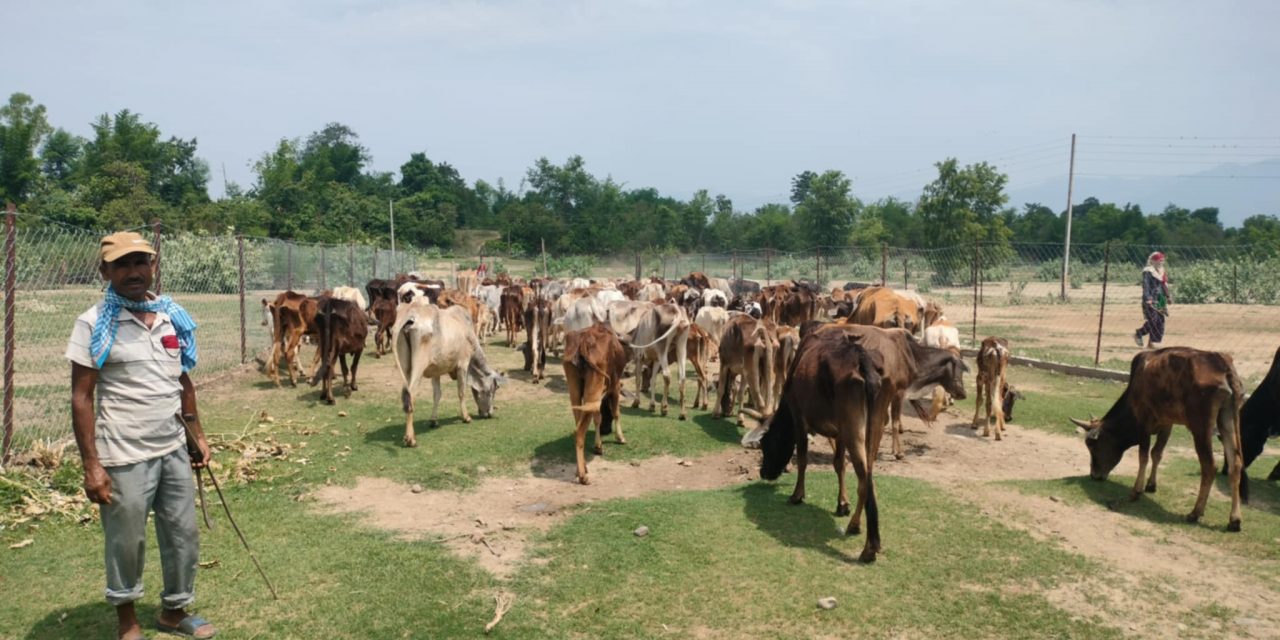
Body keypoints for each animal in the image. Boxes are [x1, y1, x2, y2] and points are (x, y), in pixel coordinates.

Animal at [394, 300, 505, 447]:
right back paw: (411, 439)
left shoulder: (435, 372)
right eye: (494, 389)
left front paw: (433, 420)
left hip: (406, 368)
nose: (490, 413)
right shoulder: (463, 365)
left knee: (405, 394)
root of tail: (410, 313)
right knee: (409, 396)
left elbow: (437, 395)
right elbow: (461, 392)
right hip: (418, 368)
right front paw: (466, 417)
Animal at [563, 323, 628, 485]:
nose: (606, 430)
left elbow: (597, 417)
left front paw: (598, 445)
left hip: (575, 389)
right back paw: (583, 476)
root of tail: (582, 344)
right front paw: (620, 438)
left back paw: (581, 468)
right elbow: (616, 412)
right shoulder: (615, 385)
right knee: (579, 431)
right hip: (594, 387)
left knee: (578, 423)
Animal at [759, 327, 885, 562]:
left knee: (864, 477)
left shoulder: (799, 416)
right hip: (872, 426)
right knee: (869, 476)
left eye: (765, 443)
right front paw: (842, 504)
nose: (763, 472)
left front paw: (797, 495)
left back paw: (868, 545)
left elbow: (803, 458)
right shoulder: (839, 431)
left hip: (854, 428)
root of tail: (860, 357)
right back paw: (858, 527)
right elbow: (839, 464)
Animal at [1071, 347, 1244, 531]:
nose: (1094, 475)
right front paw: (1151, 485)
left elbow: (1143, 456)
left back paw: (1195, 512)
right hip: (1228, 418)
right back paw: (1234, 520)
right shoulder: (1167, 423)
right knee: (1236, 464)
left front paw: (1136, 491)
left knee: (1210, 467)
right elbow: (1156, 453)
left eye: (1091, 444)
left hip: (1201, 427)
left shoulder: (1143, 422)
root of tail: (1223, 365)